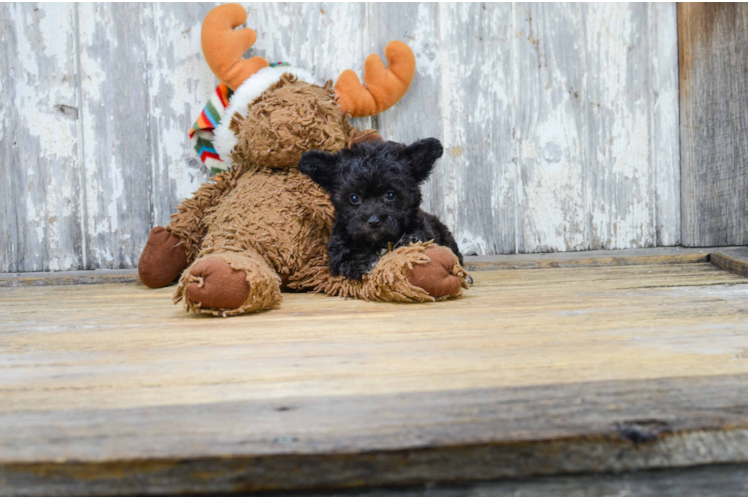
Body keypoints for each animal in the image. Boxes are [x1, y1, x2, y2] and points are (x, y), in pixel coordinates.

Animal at [298, 139, 462, 282]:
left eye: (390, 195)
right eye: (354, 198)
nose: (374, 221)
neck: (378, 241)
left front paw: (409, 241)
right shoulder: (338, 245)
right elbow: (345, 255)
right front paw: (363, 262)